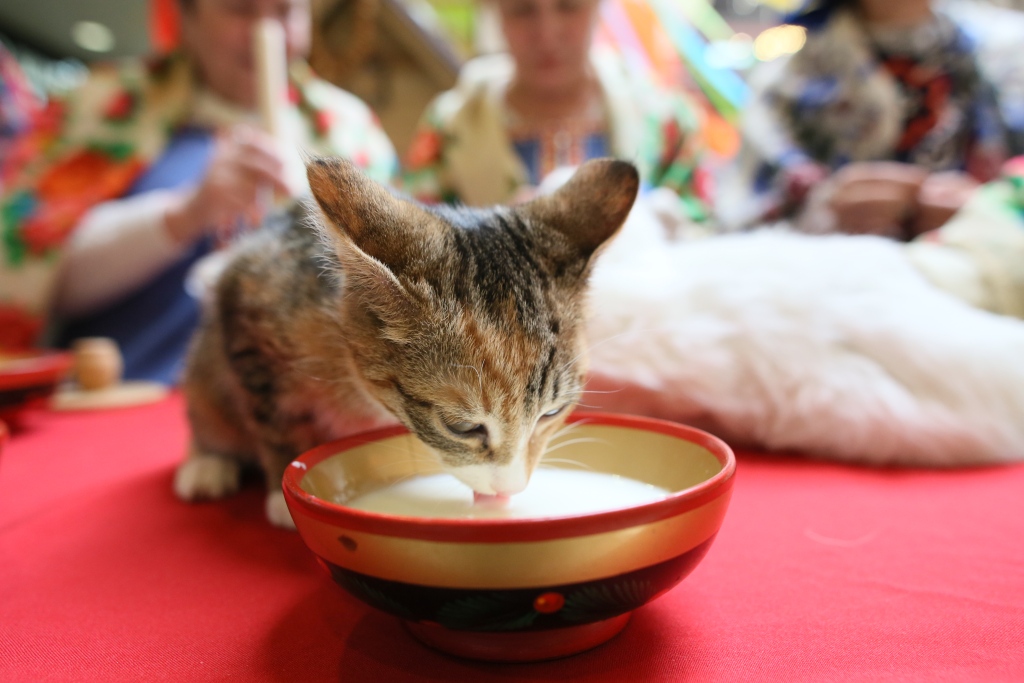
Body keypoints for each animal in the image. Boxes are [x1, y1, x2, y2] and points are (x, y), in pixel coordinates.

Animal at [176, 156, 638, 528]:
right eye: (461, 427)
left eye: (553, 413)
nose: (508, 490)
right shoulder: (249, 303)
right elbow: (274, 420)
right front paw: (280, 496)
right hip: (206, 362)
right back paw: (207, 463)